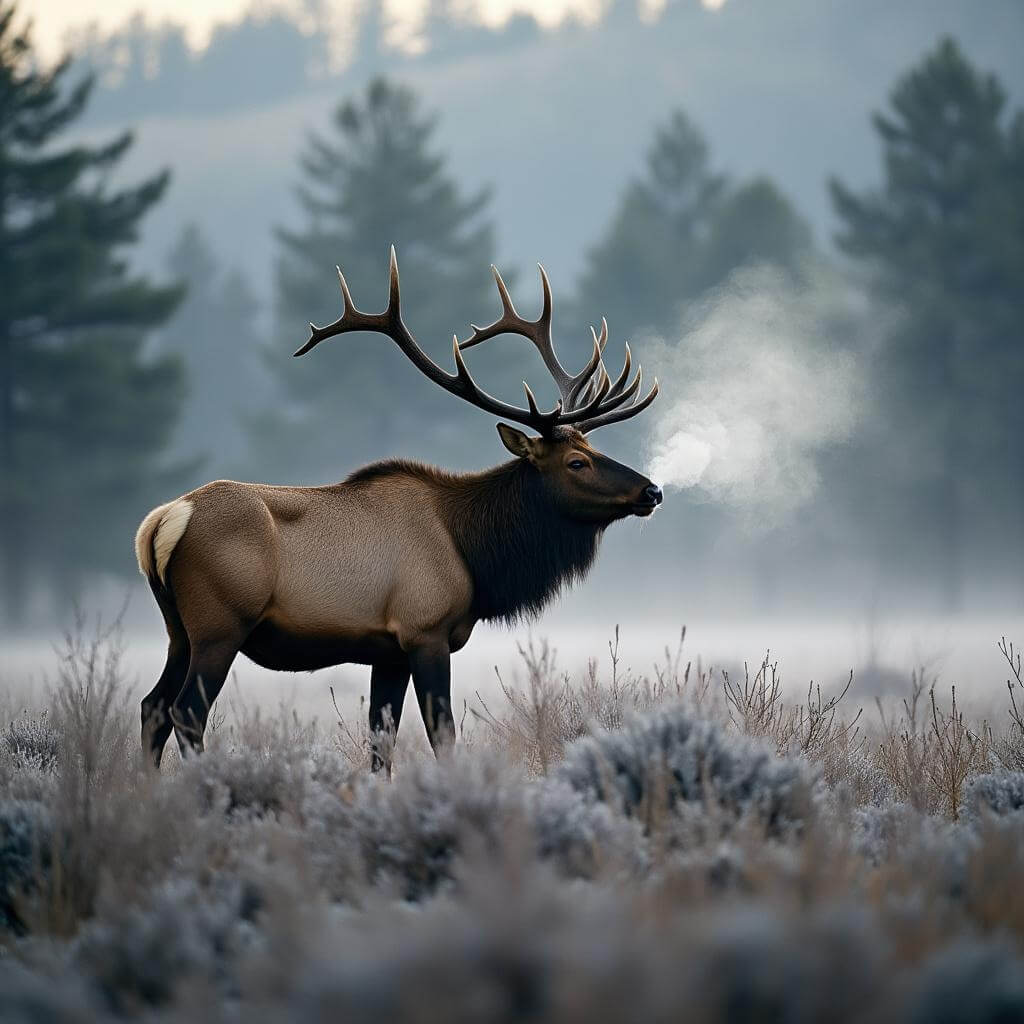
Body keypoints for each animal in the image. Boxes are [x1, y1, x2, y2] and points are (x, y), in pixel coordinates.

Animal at [135, 248, 662, 773]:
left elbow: (380, 739)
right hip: (220, 625)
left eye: (592, 449)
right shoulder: (424, 630)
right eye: (577, 462)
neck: (473, 553)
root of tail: (162, 521)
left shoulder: (385, 651)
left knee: (152, 705)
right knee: (185, 711)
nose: (652, 490)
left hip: (178, 631)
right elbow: (442, 733)